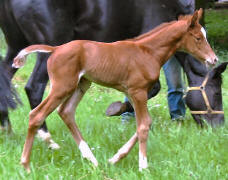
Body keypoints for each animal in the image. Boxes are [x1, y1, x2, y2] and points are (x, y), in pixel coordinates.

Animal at [12, 9, 217, 172]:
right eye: (198, 38)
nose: (213, 59)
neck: (148, 52)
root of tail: (55, 49)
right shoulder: (138, 91)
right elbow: (143, 125)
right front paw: (143, 166)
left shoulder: (133, 93)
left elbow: (144, 123)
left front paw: (115, 158)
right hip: (62, 86)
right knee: (36, 114)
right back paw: (26, 164)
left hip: (82, 84)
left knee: (66, 112)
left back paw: (92, 159)